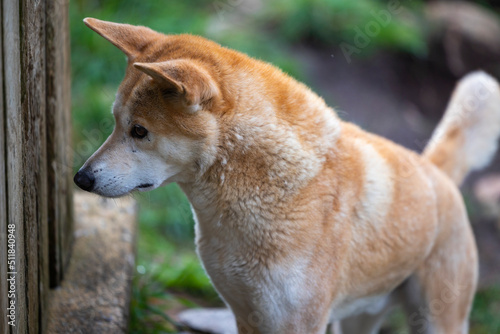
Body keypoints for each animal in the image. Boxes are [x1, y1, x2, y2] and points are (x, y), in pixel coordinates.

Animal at [74, 18, 500, 334]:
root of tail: (435, 170)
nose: (81, 179)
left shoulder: (296, 320)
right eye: (115, 122)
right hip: (361, 316)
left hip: (438, 318)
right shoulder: (247, 313)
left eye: (139, 131)